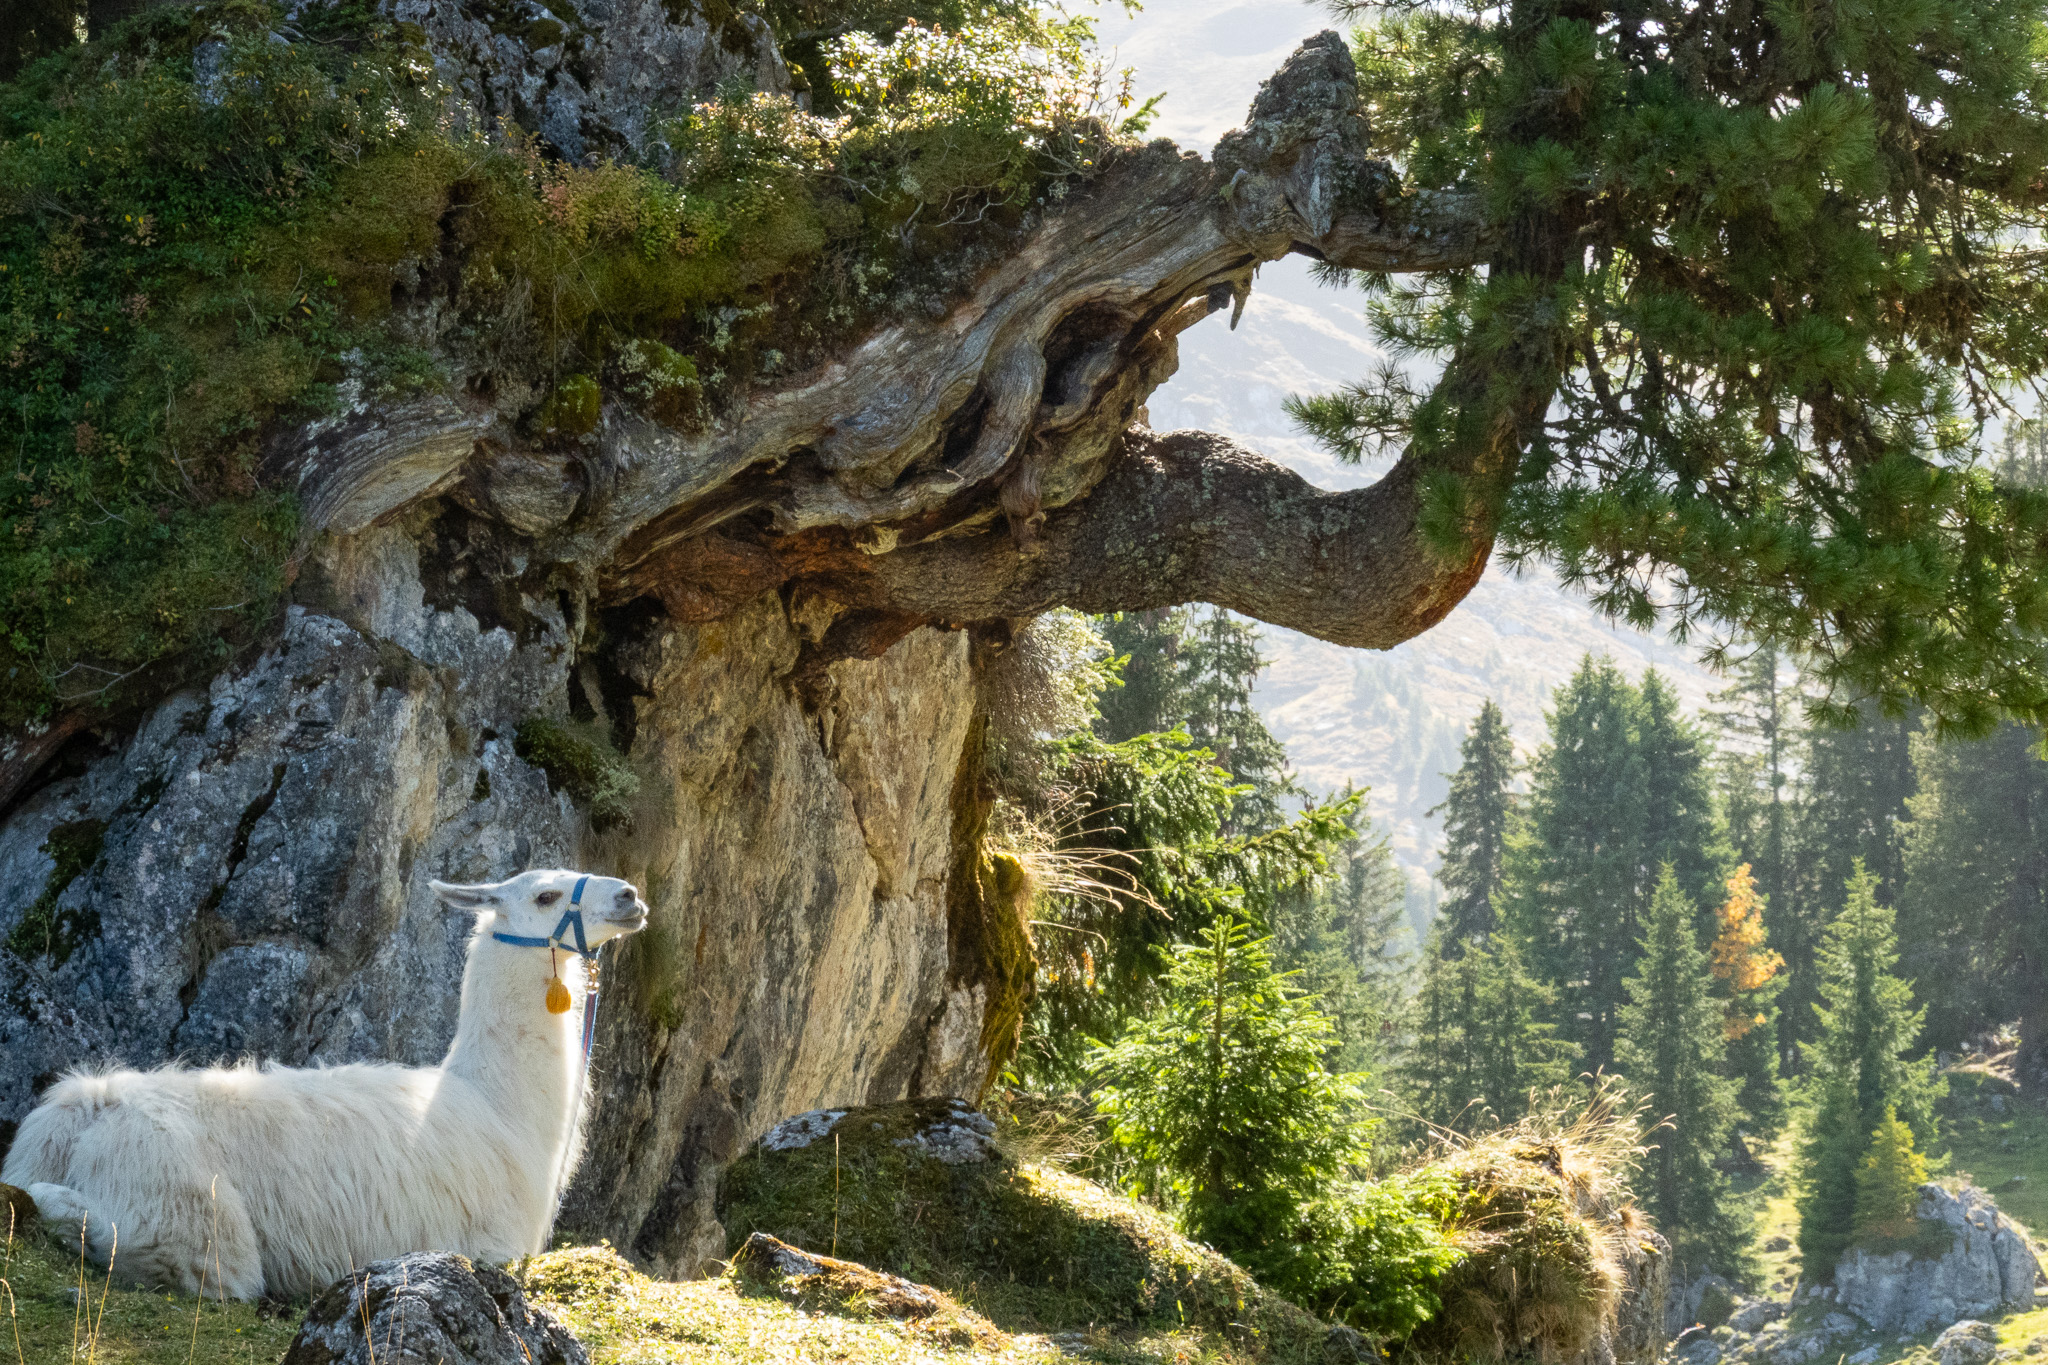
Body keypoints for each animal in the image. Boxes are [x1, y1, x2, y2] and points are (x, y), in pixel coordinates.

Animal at [0, 869, 648, 1299]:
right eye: (547, 895)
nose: (630, 896)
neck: (498, 1108)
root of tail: (87, 1104)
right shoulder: (492, 1247)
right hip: (183, 1205)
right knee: (185, 1261)